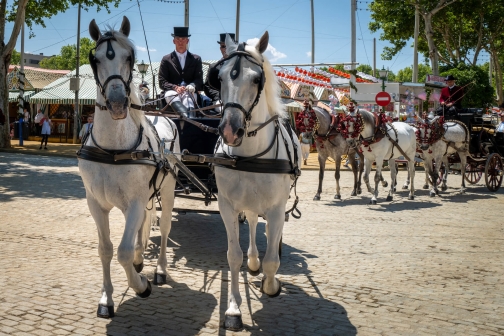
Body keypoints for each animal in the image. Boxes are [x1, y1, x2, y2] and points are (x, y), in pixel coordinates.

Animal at [78, 17, 180, 318]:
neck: (113, 149)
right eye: (95, 59)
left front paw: (141, 286)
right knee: (144, 225)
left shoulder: (134, 201)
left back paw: (159, 270)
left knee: (165, 226)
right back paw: (140, 256)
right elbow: (106, 249)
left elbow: (122, 251)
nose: (116, 103)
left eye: (130, 57)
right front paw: (106, 299)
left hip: (167, 190)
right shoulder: (96, 203)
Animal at [215, 32, 302, 330]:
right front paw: (233, 309)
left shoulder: (276, 209)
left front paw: (271, 286)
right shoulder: (227, 207)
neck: (250, 156)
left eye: (256, 79)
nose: (230, 130)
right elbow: (233, 256)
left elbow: (272, 260)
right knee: (252, 223)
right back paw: (253, 261)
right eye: (218, 78)